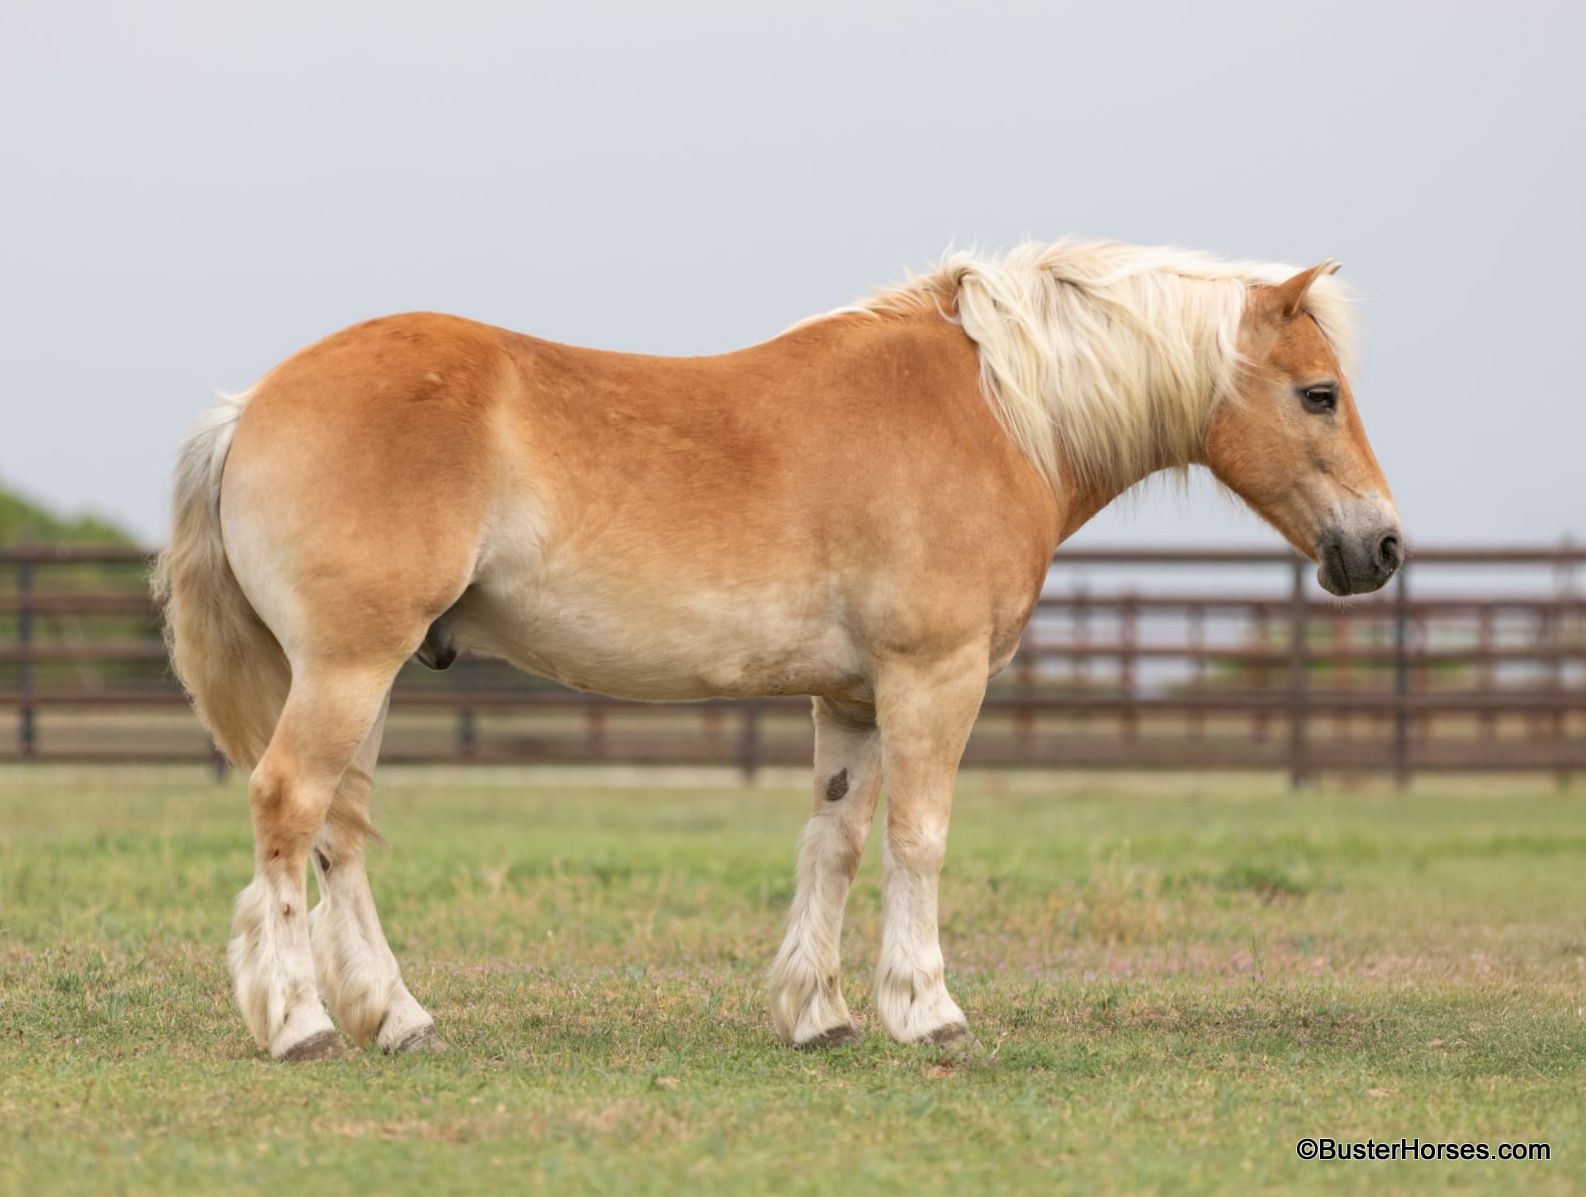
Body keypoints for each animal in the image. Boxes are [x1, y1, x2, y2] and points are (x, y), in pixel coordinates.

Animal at [154, 240, 1401, 1060]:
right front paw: (927, 1011)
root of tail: (250, 406)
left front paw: (821, 1014)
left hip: (361, 675)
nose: (1379, 547)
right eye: (1316, 394)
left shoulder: (848, 700)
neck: (989, 410)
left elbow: (835, 844)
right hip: (348, 667)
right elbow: (918, 840)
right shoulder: (932, 677)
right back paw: (301, 1025)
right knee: (290, 806)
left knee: (340, 832)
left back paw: (397, 1018)